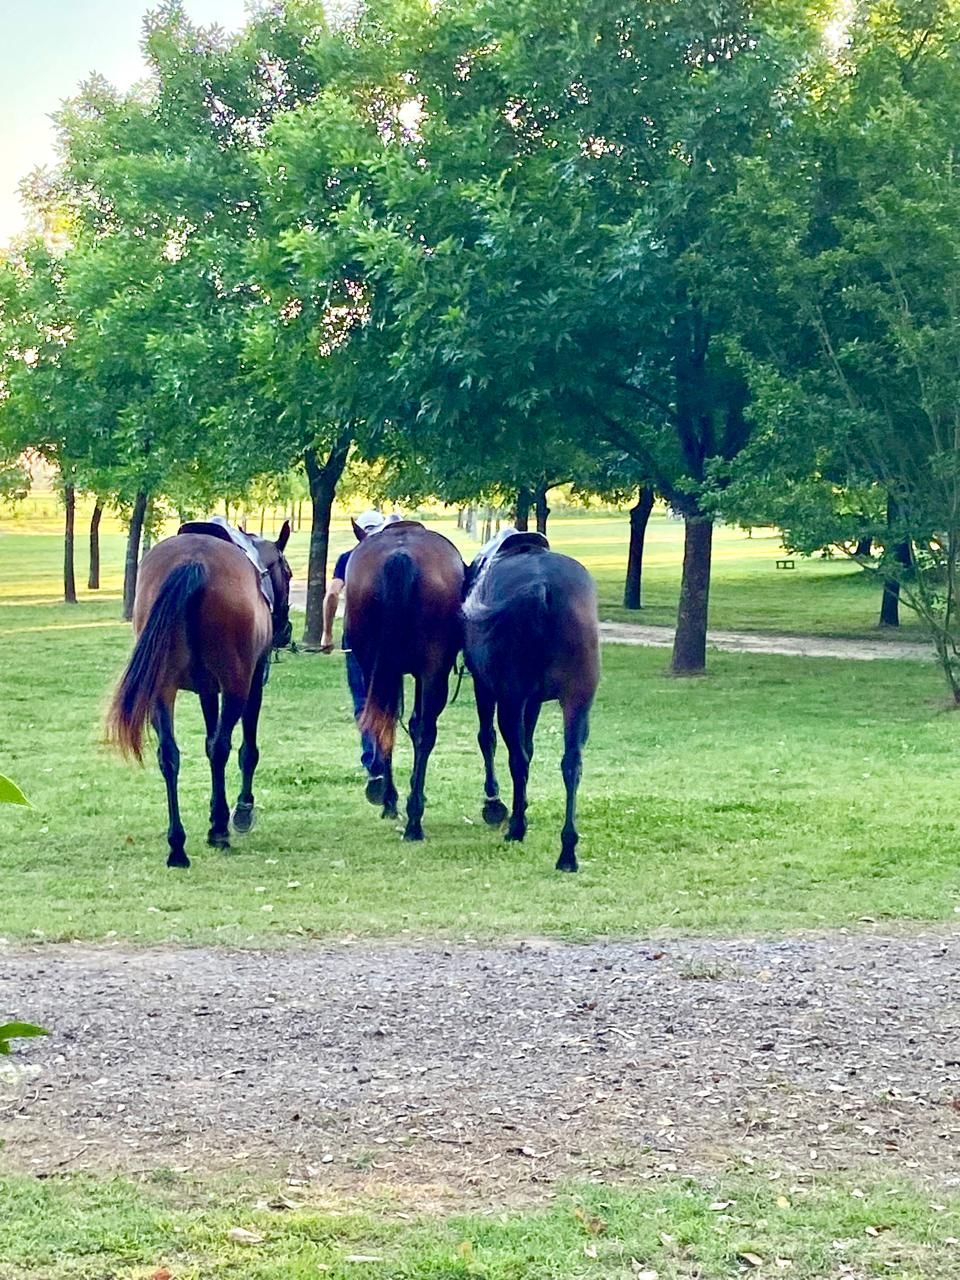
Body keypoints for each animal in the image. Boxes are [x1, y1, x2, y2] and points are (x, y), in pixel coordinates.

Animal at [106, 521, 293, 867]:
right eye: (287, 573)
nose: (284, 630)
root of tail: (193, 561)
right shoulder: (252, 682)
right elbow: (245, 750)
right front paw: (240, 810)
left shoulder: (207, 688)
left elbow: (207, 741)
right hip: (235, 685)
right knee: (222, 747)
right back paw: (219, 829)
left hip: (161, 689)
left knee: (169, 754)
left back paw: (177, 845)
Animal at [345, 520, 464, 841]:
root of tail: (401, 556)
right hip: (434, 669)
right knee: (422, 730)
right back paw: (411, 817)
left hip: (377, 664)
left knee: (383, 722)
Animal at [462, 534, 599, 872]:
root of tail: (542, 587)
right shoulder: (534, 701)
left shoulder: (486, 687)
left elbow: (487, 738)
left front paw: (496, 804)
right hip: (578, 700)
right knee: (571, 763)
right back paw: (567, 850)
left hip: (511, 699)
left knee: (518, 759)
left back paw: (517, 828)